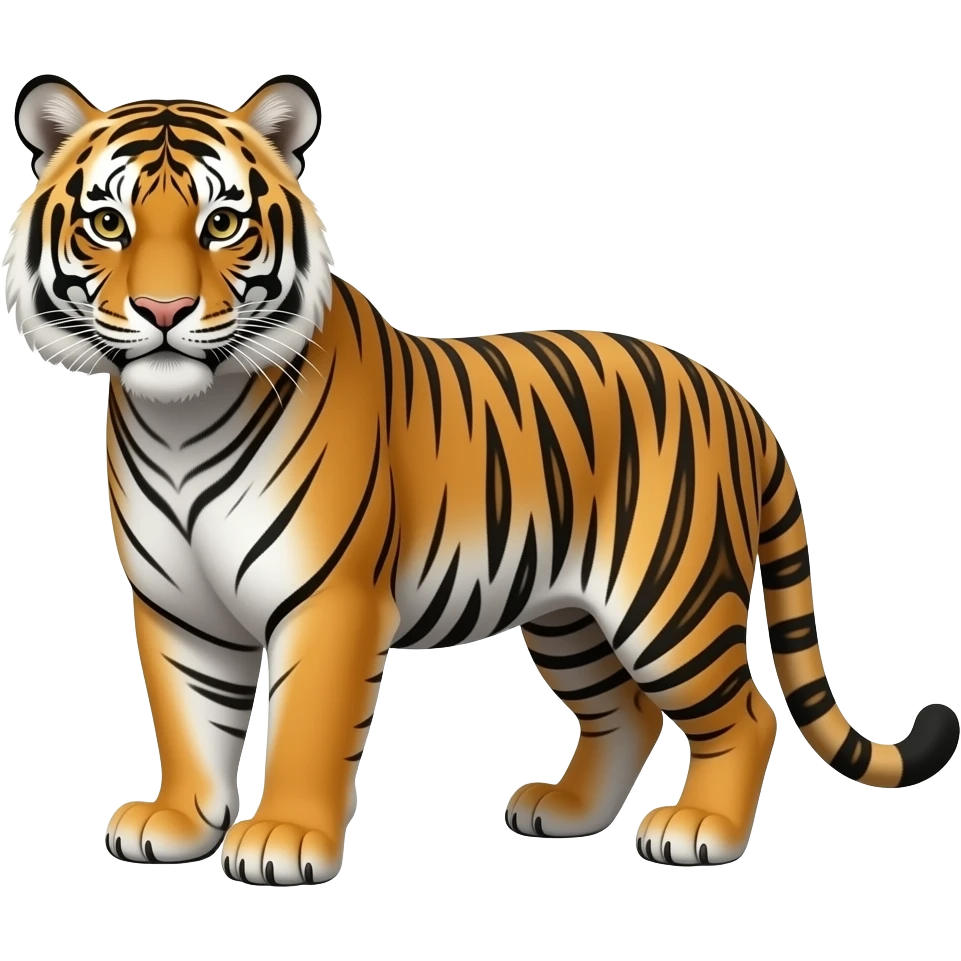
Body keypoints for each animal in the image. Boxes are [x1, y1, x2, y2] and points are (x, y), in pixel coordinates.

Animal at [5, 73, 958, 887]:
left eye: (223, 225)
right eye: (109, 224)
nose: (164, 312)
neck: (179, 420)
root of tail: (734, 396)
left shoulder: (329, 598)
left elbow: (307, 723)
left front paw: (282, 839)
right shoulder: (177, 605)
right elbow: (188, 720)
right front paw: (176, 824)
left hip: (668, 601)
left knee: (747, 713)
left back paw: (700, 832)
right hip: (571, 617)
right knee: (626, 713)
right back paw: (564, 812)